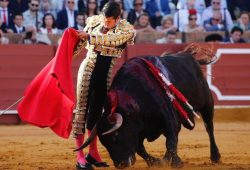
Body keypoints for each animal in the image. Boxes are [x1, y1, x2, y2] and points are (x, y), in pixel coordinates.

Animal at [76, 45, 221, 169]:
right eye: (104, 143)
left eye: (116, 136)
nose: (120, 164)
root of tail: (188, 56)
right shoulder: (138, 129)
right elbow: (140, 148)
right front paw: (156, 162)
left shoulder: (168, 118)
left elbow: (170, 141)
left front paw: (174, 163)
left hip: (207, 103)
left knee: (209, 127)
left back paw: (215, 156)